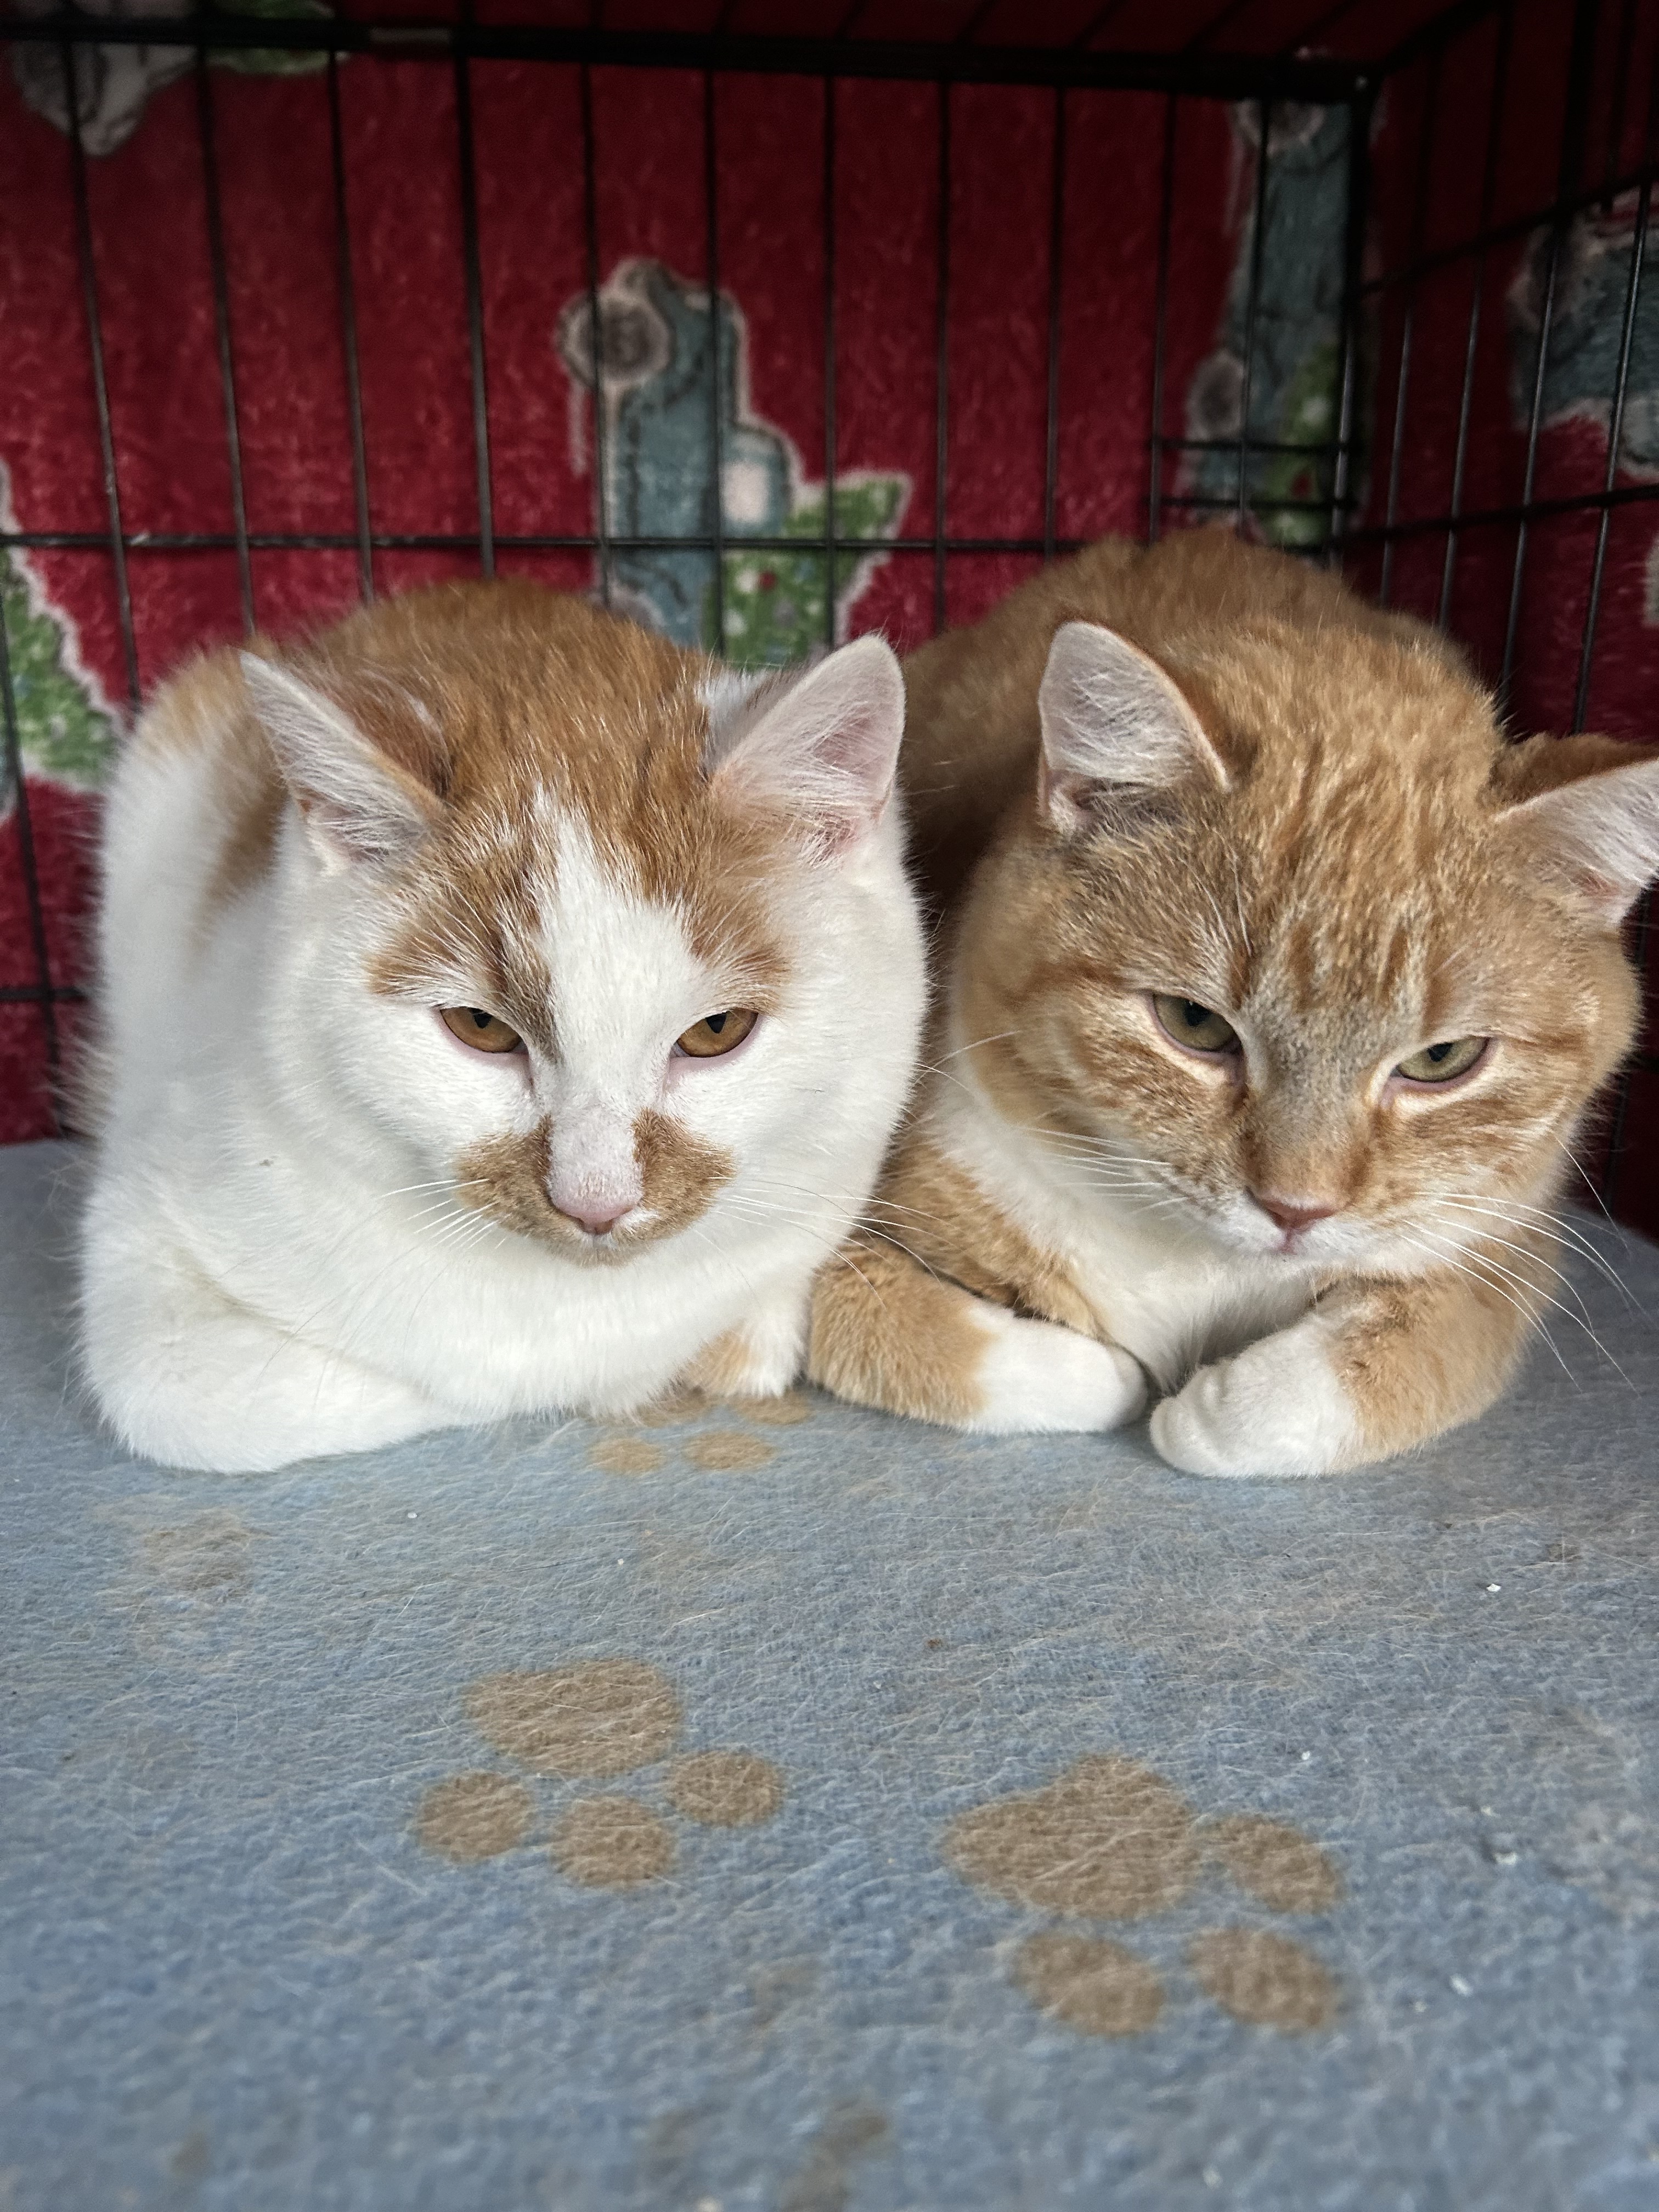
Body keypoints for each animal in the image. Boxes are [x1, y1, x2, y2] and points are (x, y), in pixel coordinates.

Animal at [814, 526, 1659, 1477]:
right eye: (1195, 1024)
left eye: (1443, 1060)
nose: (1297, 1211)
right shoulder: (837, 1256)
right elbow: (960, 1348)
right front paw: (1119, 1377)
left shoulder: (1497, 1258)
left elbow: (1355, 1379)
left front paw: (1208, 1406)